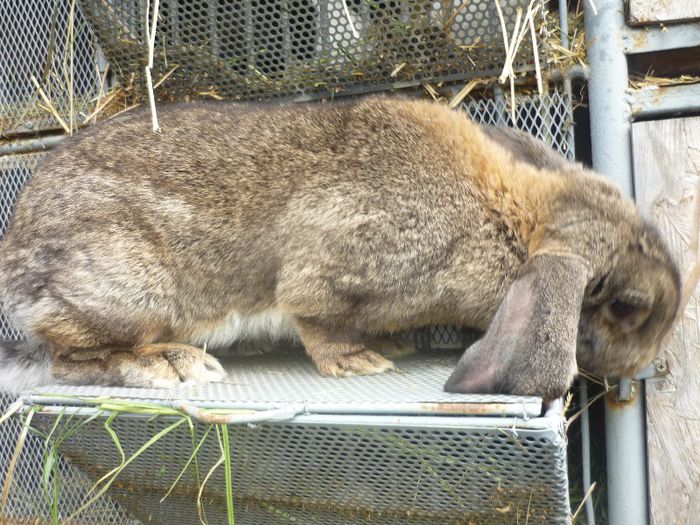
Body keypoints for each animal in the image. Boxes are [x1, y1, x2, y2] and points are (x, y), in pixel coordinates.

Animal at [0, 95, 680, 402]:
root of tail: (15, 264)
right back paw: (171, 365)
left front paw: (391, 347)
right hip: (126, 292)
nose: (641, 366)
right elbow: (315, 317)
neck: (510, 222)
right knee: (70, 358)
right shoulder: (334, 267)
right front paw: (359, 363)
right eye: (627, 308)